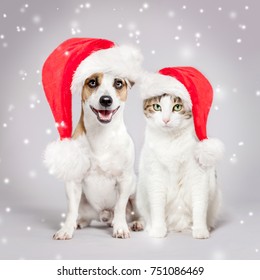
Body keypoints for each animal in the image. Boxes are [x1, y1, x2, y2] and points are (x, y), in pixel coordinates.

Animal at [136, 68, 223, 238]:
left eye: (177, 107)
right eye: (157, 107)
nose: (166, 120)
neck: (171, 141)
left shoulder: (198, 173)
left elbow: (199, 203)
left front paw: (200, 230)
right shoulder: (155, 172)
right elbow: (157, 202)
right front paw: (158, 229)